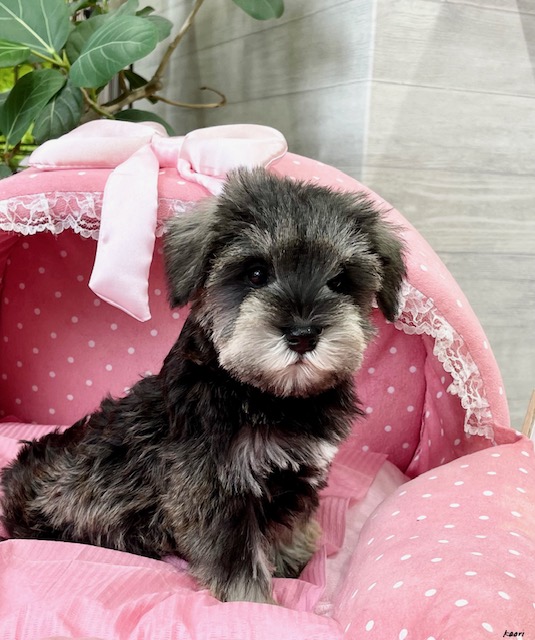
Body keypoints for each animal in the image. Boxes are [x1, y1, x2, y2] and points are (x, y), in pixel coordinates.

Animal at [0, 168, 405, 603]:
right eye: (256, 273)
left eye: (340, 281)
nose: (302, 335)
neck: (270, 396)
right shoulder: (212, 488)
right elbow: (236, 559)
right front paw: (253, 603)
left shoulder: (294, 472)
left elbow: (287, 521)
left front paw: (291, 558)